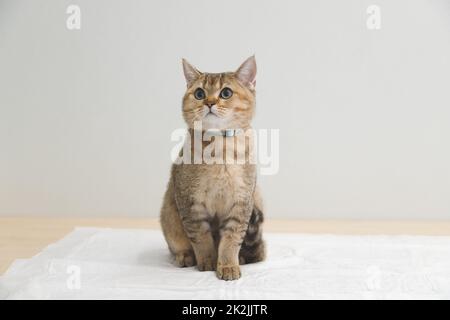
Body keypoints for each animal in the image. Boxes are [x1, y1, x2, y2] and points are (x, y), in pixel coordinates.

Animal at [159, 57, 264, 280]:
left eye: (226, 93)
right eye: (199, 93)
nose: (209, 102)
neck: (220, 150)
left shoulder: (241, 203)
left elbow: (231, 240)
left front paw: (228, 265)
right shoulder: (191, 203)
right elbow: (201, 237)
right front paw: (207, 262)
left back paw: (242, 258)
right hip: (168, 215)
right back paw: (184, 256)